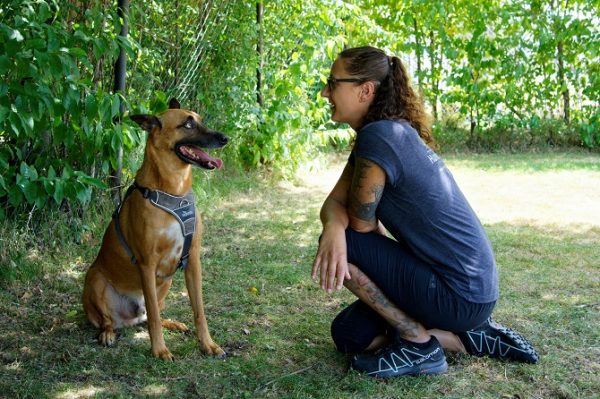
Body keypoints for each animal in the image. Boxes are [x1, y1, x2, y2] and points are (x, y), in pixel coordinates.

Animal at [81, 98, 226, 360]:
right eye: (188, 124)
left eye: (200, 120)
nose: (225, 138)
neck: (174, 190)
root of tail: (130, 318)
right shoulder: (147, 264)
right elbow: (154, 320)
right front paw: (159, 350)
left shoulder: (192, 260)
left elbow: (199, 310)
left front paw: (207, 344)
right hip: (94, 279)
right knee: (115, 320)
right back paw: (107, 334)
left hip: (166, 281)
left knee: (151, 312)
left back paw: (174, 323)